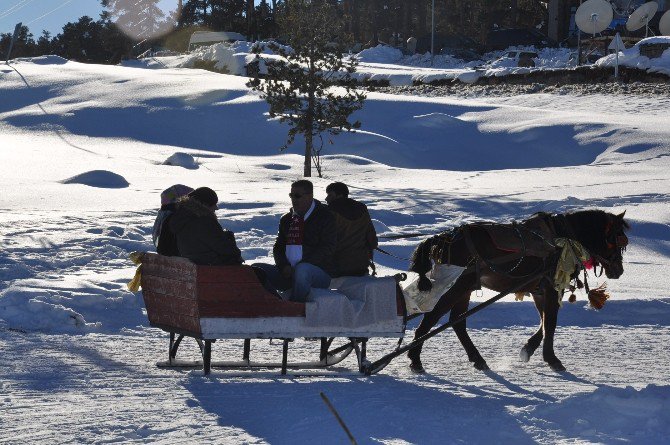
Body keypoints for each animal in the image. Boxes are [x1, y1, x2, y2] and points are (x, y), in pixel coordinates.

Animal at [406, 208, 632, 372]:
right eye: (617, 239)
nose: (619, 270)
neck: (563, 237)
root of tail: (446, 237)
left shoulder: (539, 290)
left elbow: (543, 322)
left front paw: (528, 349)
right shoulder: (551, 288)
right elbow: (550, 322)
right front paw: (552, 359)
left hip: (466, 288)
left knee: (457, 322)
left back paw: (477, 359)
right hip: (460, 285)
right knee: (434, 316)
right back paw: (415, 358)